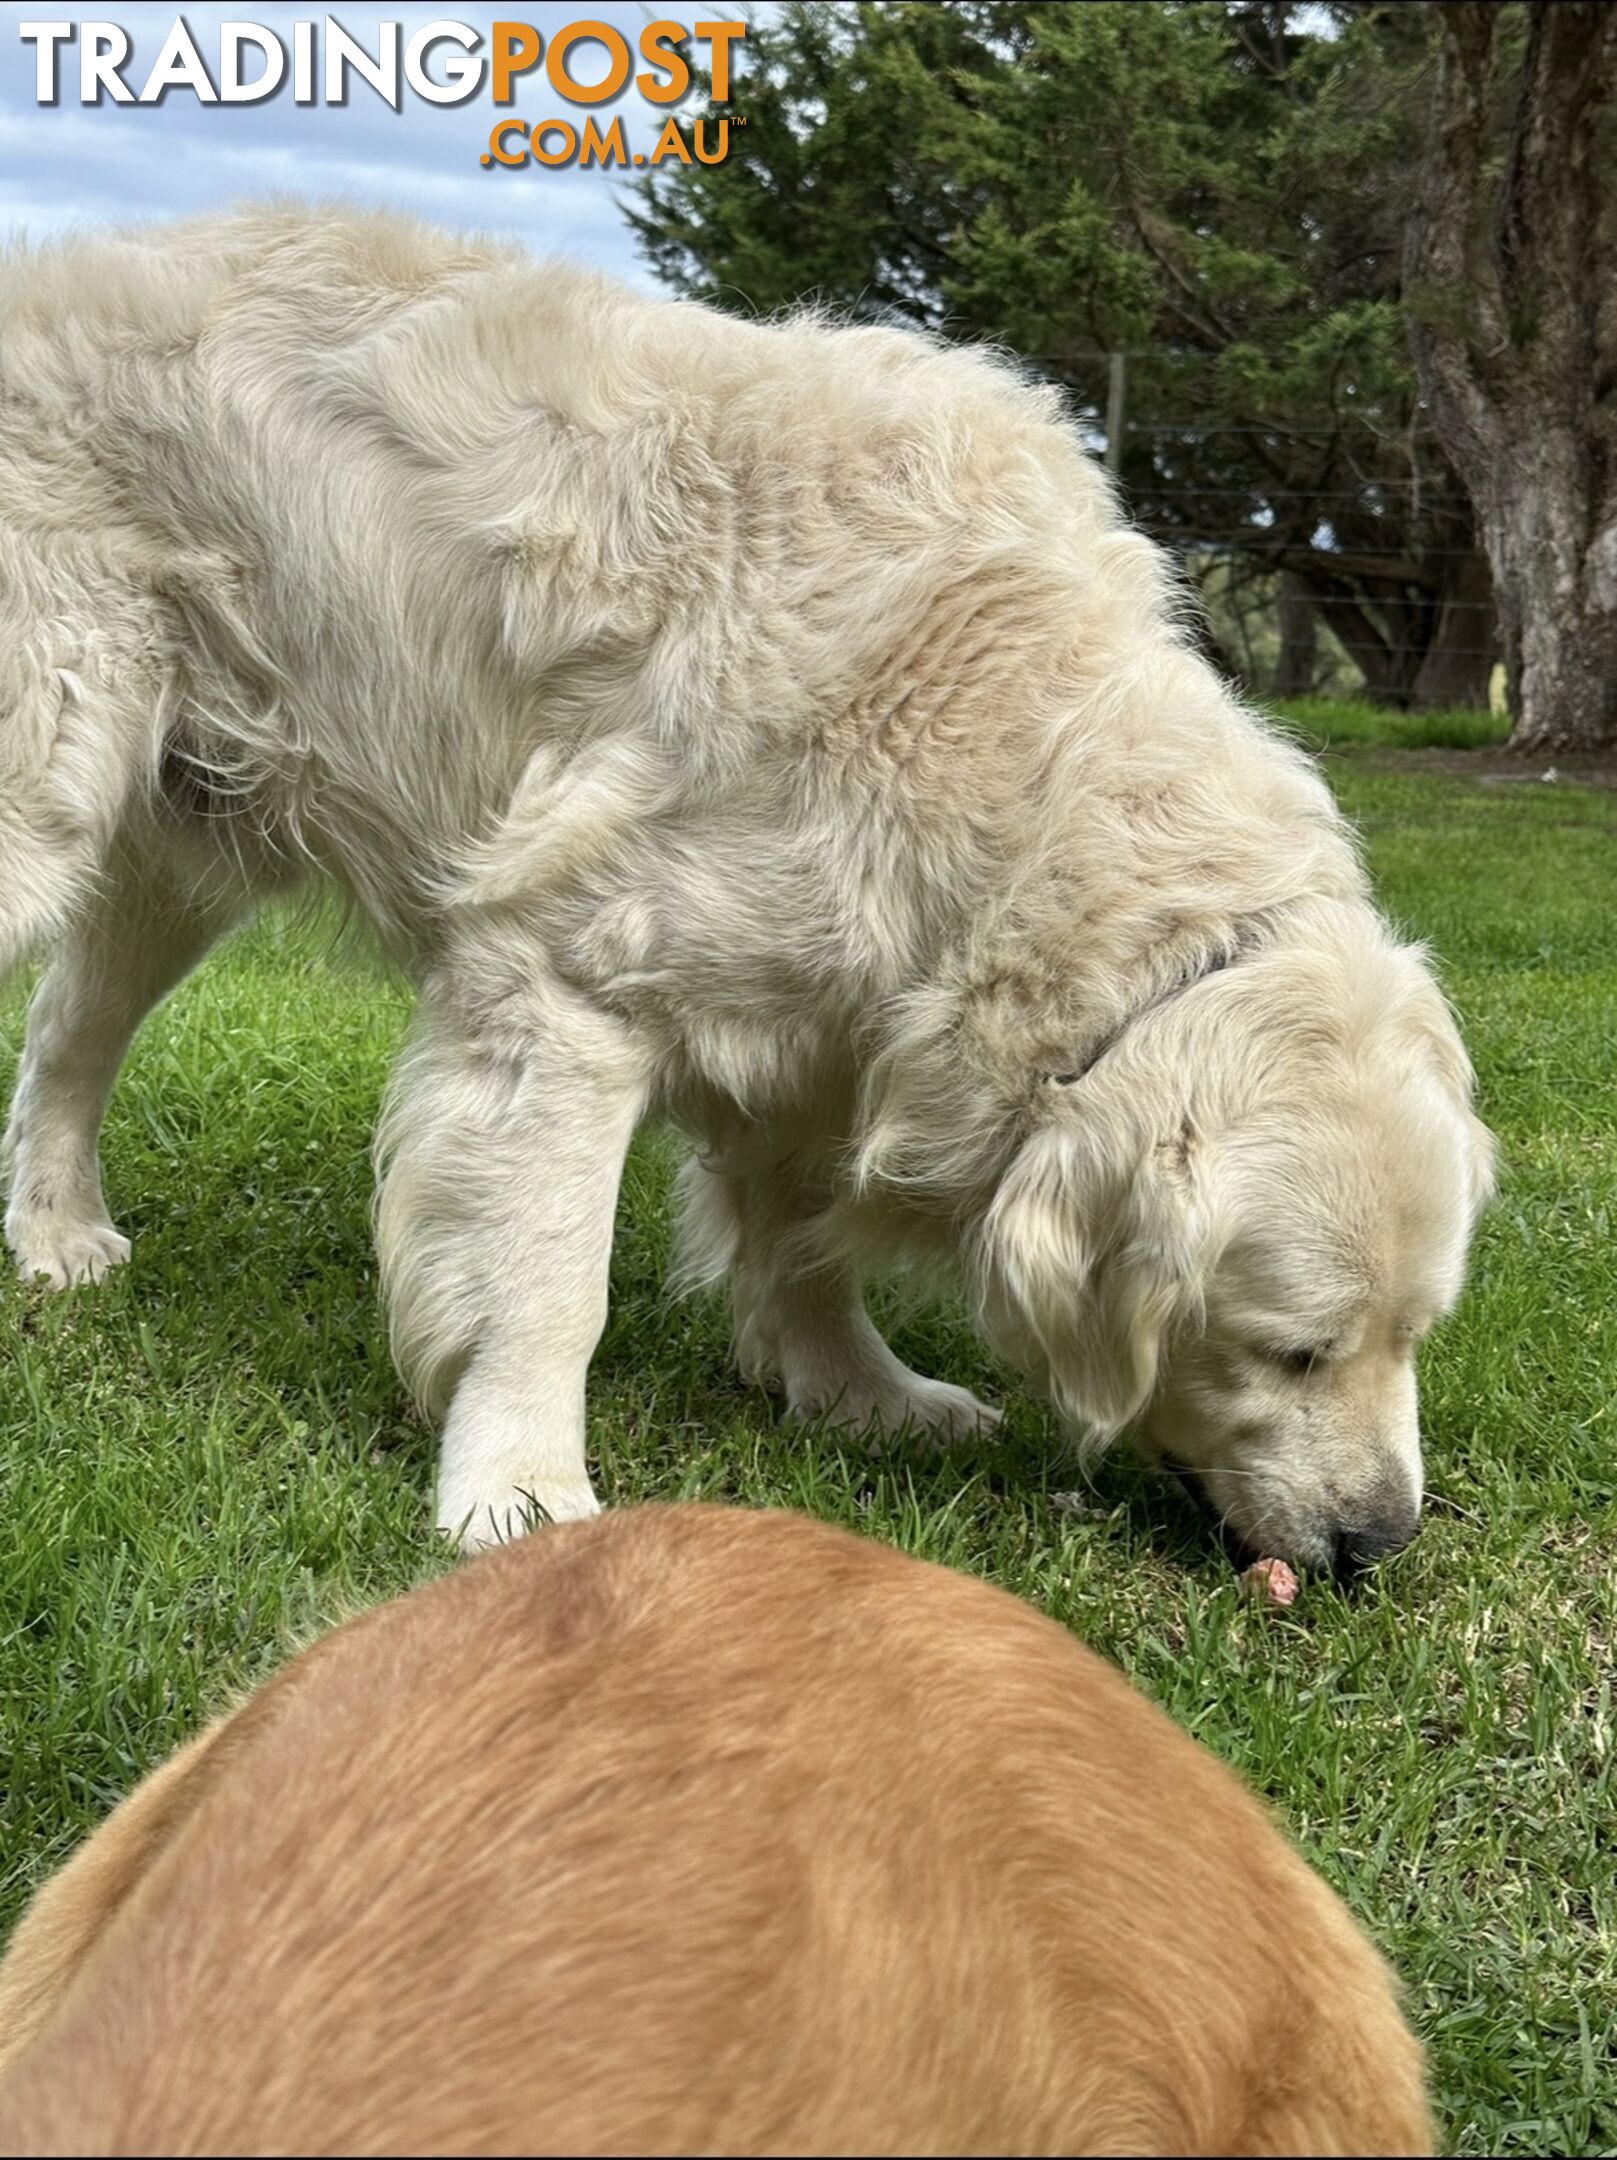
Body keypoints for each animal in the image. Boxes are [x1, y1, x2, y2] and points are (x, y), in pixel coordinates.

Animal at [0, 203, 1485, 1572]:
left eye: (1414, 1336)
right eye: (1291, 1350)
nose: (1380, 1544)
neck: (1014, 766)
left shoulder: (834, 1026)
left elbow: (804, 1234)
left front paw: (859, 1392)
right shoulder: (566, 983)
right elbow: (549, 1279)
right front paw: (521, 1489)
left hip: (183, 840)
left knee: (68, 1035)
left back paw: (55, 1235)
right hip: (48, 784)